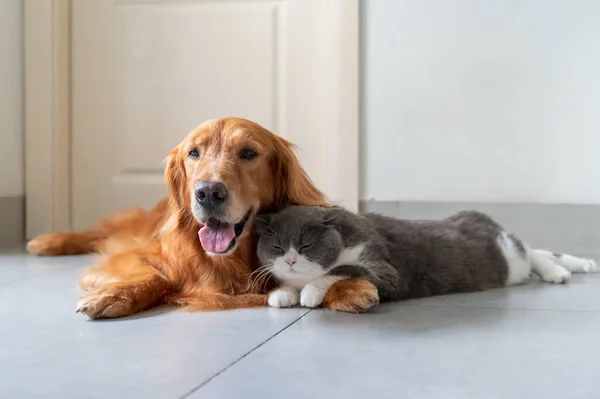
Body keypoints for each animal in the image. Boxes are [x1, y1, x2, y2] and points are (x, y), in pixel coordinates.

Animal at [27, 119, 380, 318]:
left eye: (249, 153)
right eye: (193, 153)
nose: (208, 192)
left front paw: (347, 288)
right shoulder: (137, 256)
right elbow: (158, 276)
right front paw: (114, 294)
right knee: (100, 233)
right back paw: (48, 242)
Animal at [253, 205, 596, 310]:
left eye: (305, 245)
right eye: (277, 248)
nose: (291, 260)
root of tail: (477, 215)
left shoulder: (386, 268)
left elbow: (344, 268)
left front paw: (311, 292)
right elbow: (286, 285)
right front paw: (282, 294)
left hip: (509, 257)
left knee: (528, 248)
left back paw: (560, 271)